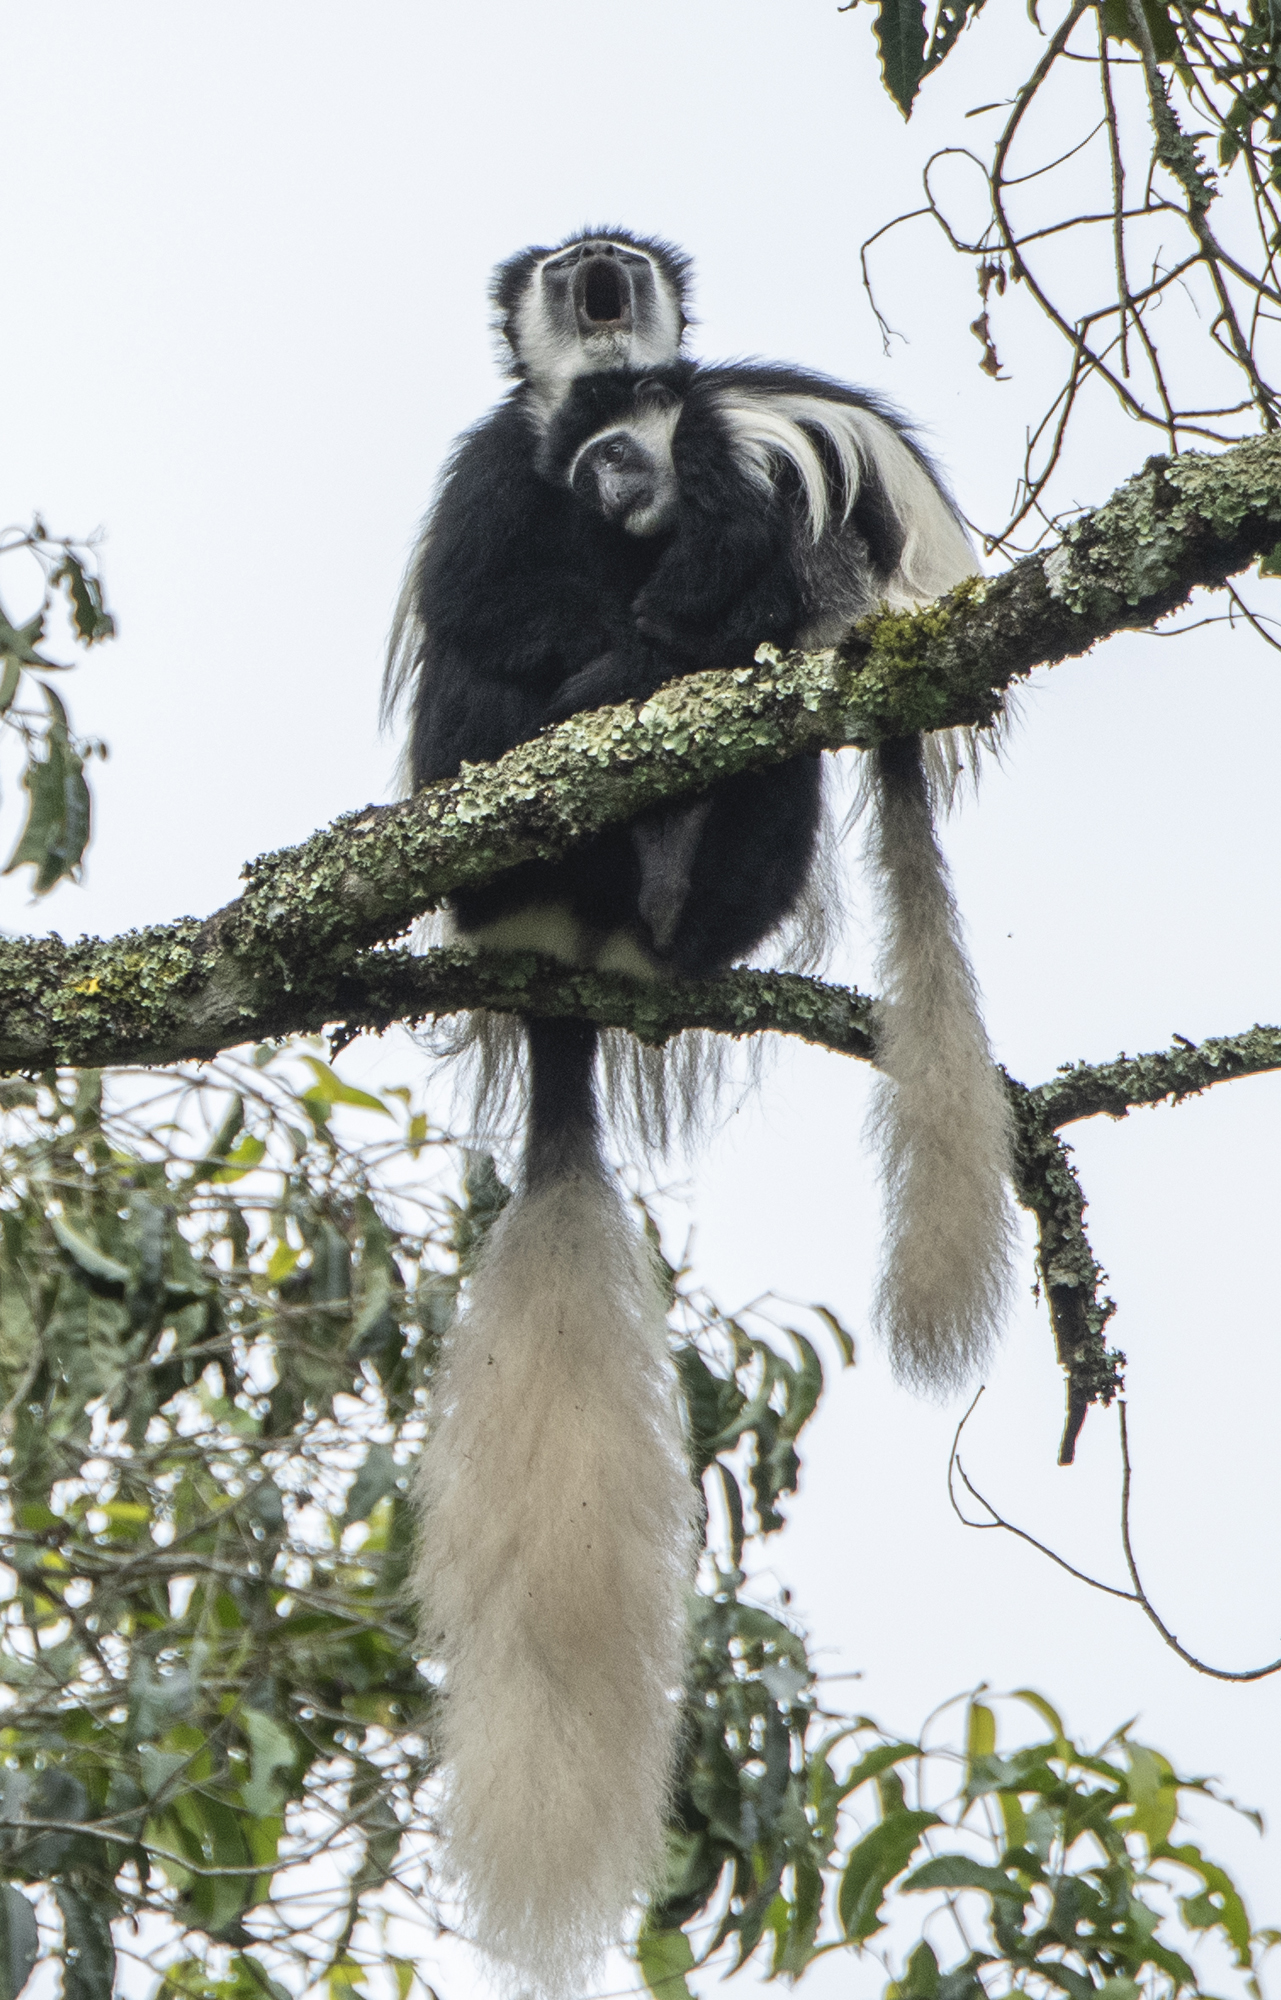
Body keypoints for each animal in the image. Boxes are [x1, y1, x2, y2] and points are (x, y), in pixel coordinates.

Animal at [386, 231, 1014, 1994]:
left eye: (618, 275)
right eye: (565, 281)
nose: (599, 268)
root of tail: (574, 966)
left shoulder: (723, 463)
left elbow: (709, 565)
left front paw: (651, 638)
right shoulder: (502, 465)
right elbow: (479, 595)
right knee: (492, 679)